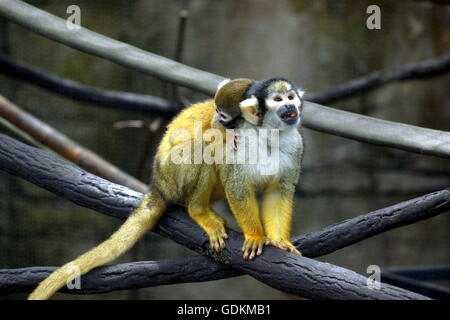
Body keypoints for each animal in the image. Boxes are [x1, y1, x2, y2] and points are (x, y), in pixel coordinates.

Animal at [29, 77, 306, 300]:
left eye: (290, 97)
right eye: (278, 100)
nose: (290, 107)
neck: (268, 133)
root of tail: (157, 183)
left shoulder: (295, 144)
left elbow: (279, 190)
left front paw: (278, 241)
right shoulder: (238, 137)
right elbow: (236, 184)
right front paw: (255, 236)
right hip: (171, 174)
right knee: (207, 146)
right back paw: (199, 211)